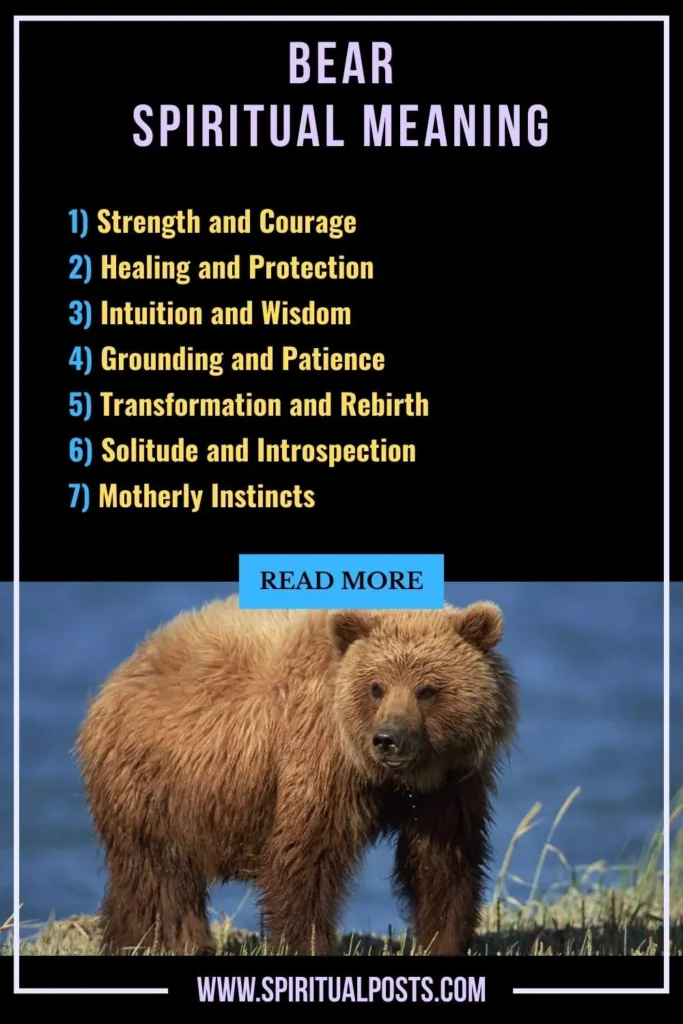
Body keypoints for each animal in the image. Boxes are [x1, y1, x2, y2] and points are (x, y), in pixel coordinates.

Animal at [75, 595, 519, 957]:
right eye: (376, 686)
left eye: (427, 689)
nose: (387, 739)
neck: (389, 777)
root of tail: (117, 676)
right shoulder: (319, 758)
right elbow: (307, 859)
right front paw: (307, 942)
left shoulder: (450, 783)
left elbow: (441, 862)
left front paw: (444, 940)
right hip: (152, 782)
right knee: (159, 875)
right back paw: (169, 942)